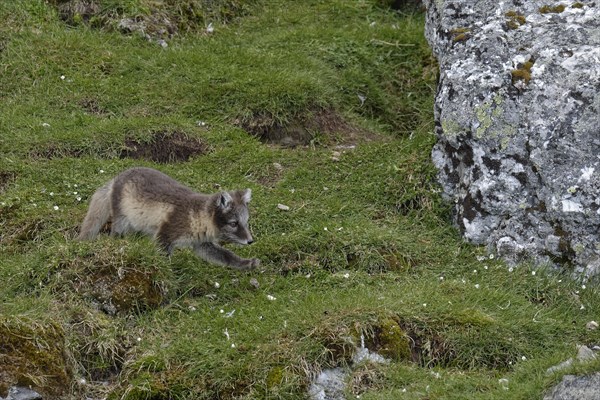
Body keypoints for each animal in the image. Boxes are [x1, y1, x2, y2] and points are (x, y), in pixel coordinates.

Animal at [77, 167, 260, 270]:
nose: (251, 241)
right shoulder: (165, 236)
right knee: (115, 235)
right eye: (233, 223)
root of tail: (116, 178)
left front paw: (247, 264)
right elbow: (163, 258)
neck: (196, 216)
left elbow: (226, 256)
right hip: (121, 220)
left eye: (246, 222)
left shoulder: (202, 244)